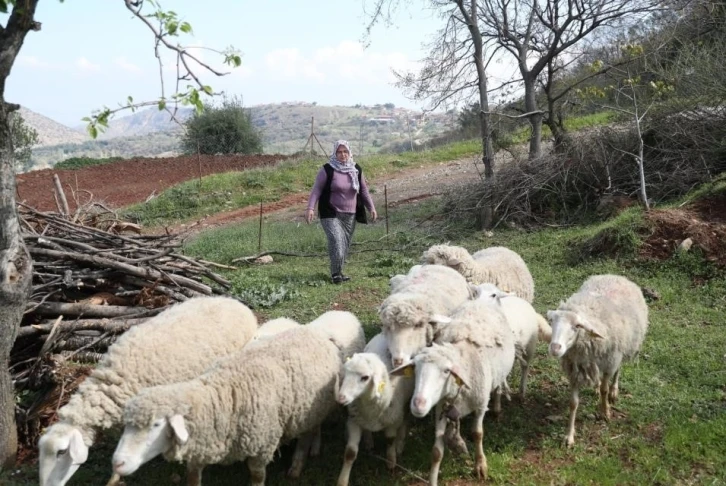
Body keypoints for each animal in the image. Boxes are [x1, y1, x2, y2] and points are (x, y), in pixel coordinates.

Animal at [111, 312, 366, 486]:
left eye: (156, 425)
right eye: (125, 426)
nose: (117, 463)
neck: (219, 398)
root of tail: (319, 334)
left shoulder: (261, 445)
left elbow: (257, 476)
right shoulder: (202, 443)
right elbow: (193, 477)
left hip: (308, 411)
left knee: (305, 437)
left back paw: (297, 465)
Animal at [336, 332, 416, 486]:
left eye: (365, 377)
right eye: (345, 373)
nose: (341, 398)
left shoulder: (393, 421)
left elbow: (390, 440)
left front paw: (391, 462)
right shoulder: (354, 421)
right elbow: (350, 453)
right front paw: (342, 480)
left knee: (405, 420)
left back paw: (400, 443)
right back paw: (368, 441)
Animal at [392, 300, 516, 486]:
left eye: (446, 371)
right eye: (415, 369)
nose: (418, 404)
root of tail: (482, 300)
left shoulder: (480, 405)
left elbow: (478, 434)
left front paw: (480, 465)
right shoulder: (441, 408)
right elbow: (436, 452)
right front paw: (433, 479)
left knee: (499, 386)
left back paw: (497, 406)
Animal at [548, 276, 652, 446]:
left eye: (577, 326)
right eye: (551, 322)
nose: (555, 348)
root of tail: (616, 276)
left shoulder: (610, 362)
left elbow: (605, 389)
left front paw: (605, 411)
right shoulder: (575, 371)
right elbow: (573, 403)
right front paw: (569, 436)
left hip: (621, 350)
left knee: (617, 371)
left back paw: (613, 391)